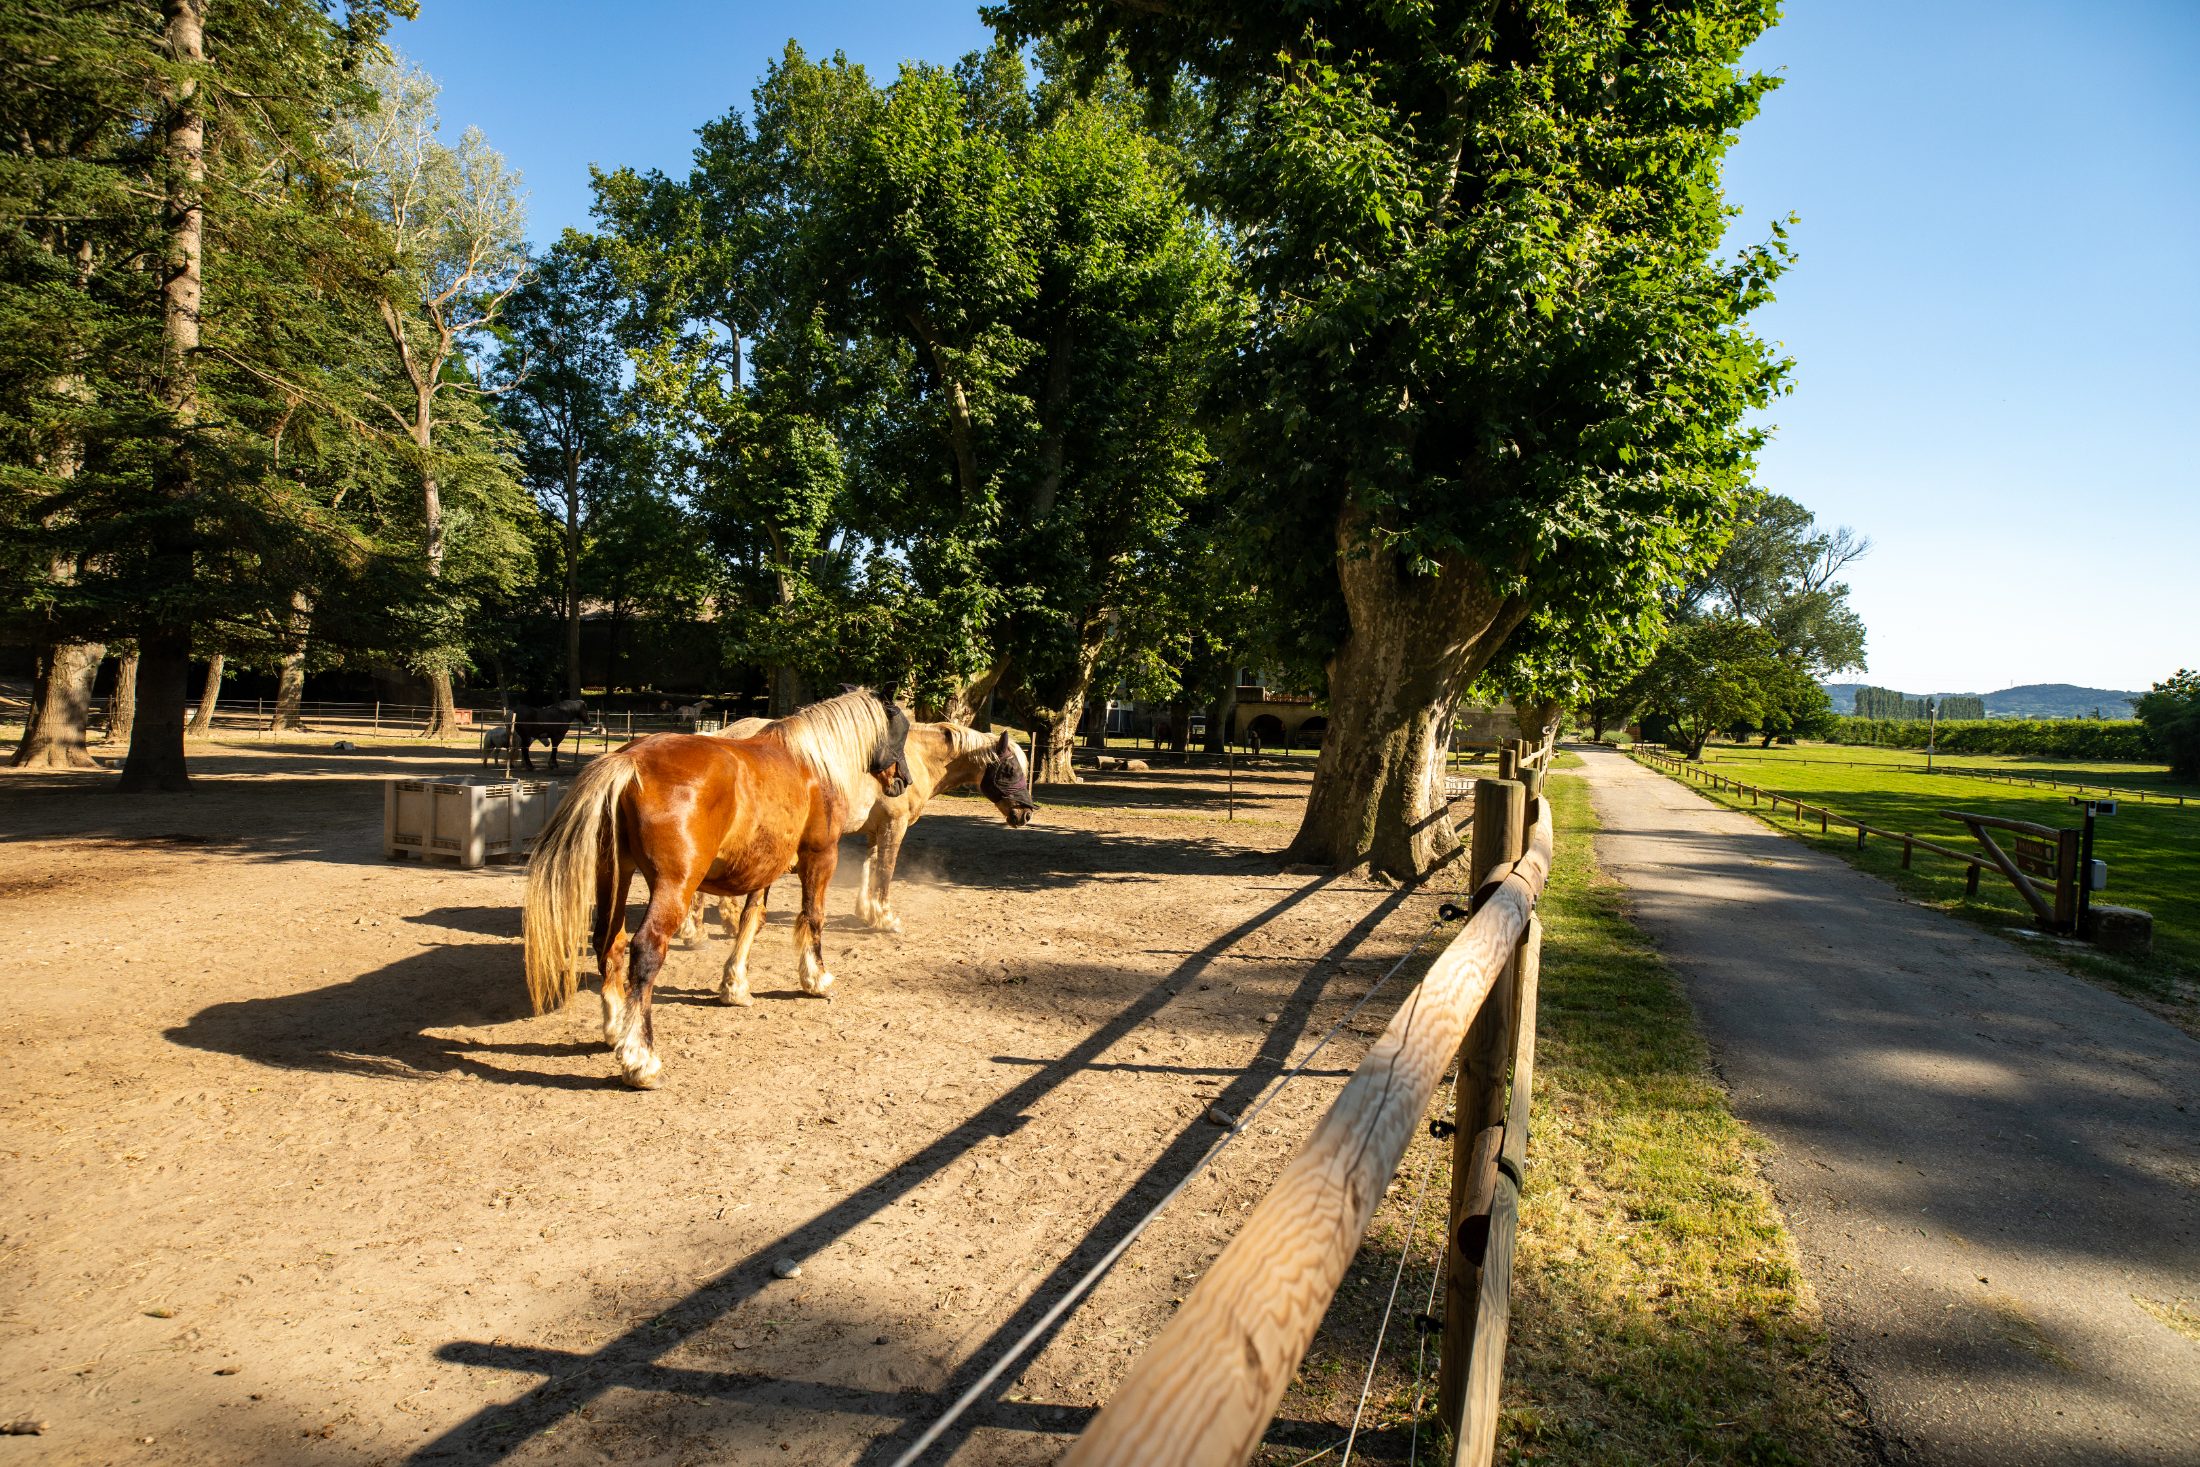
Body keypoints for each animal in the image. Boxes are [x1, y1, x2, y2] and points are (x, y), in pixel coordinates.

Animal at [521, 688, 912, 1089]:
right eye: (900, 733)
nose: (904, 781)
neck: (812, 764)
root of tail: (628, 760)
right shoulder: (820, 857)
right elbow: (813, 917)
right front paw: (817, 979)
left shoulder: (766, 868)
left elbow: (752, 920)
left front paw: (735, 986)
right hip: (673, 885)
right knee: (645, 949)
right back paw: (640, 1060)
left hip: (615, 875)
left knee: (608, 942)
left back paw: (617, 1029)